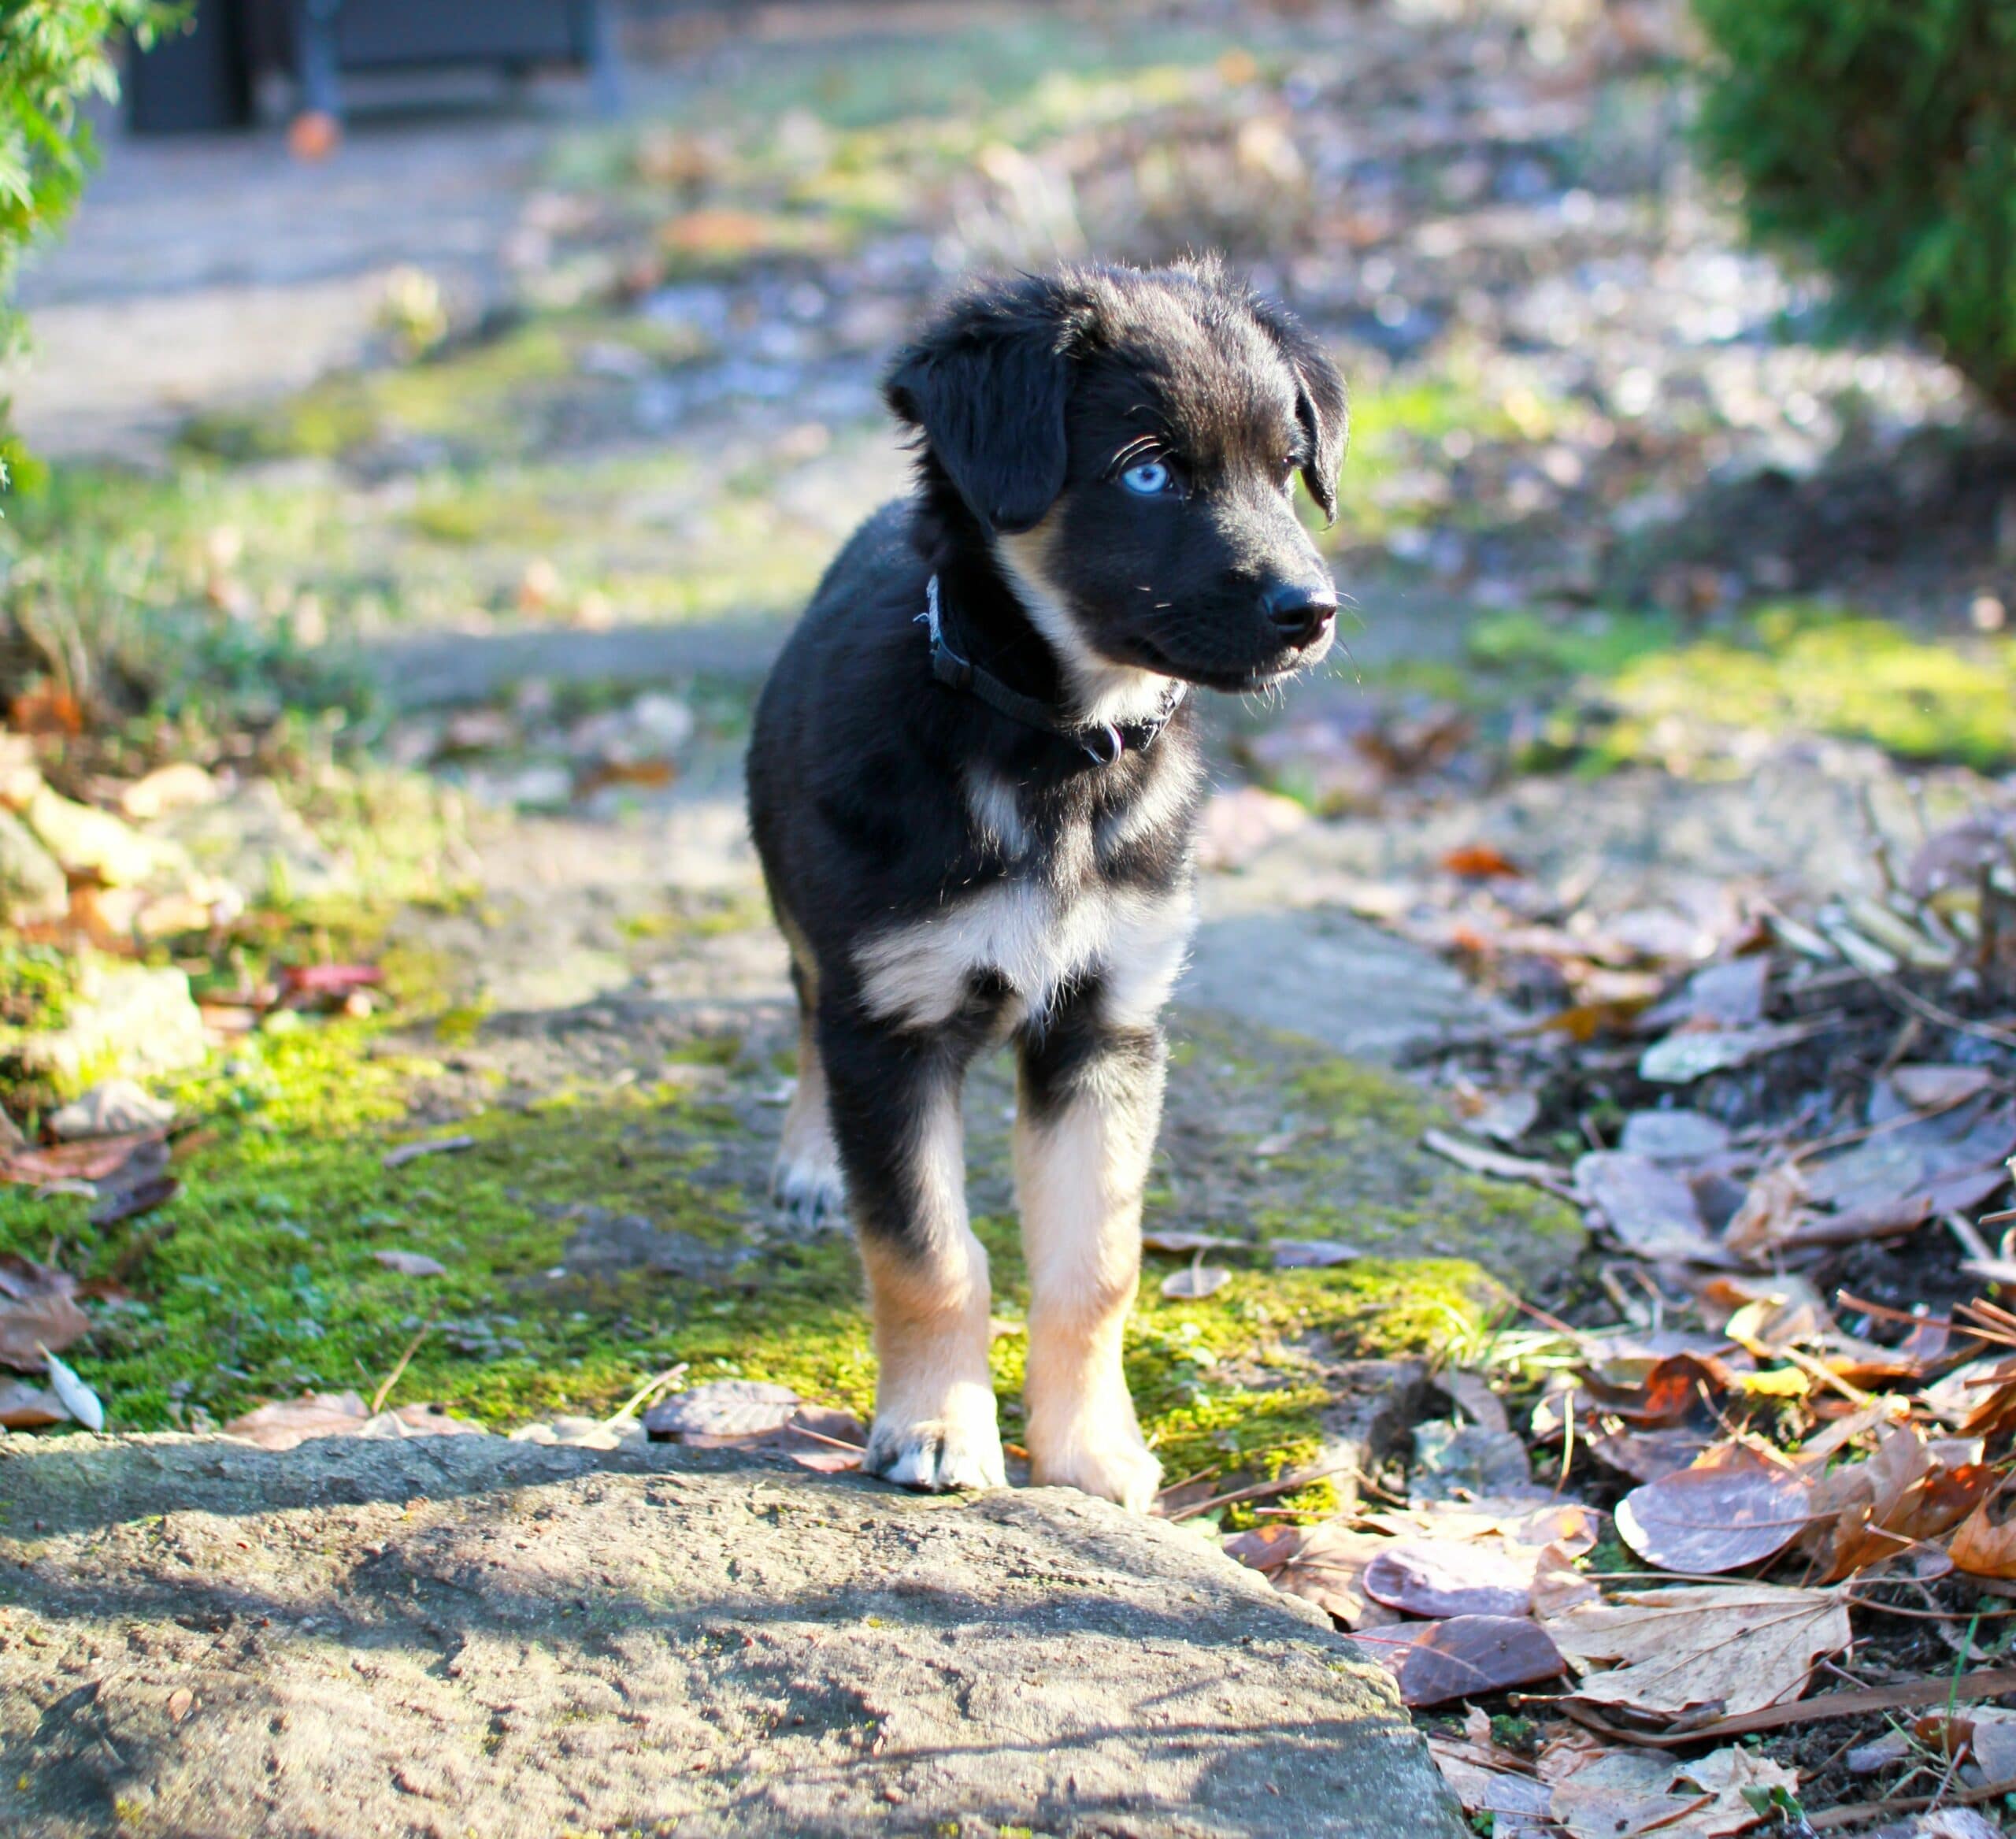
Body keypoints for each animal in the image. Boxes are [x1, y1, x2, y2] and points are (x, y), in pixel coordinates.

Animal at [750, 261, 1347, 1524]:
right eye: (1148, 469)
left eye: (1287, 466)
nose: (1311, 613)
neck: (1055, 753)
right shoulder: (892, 1017)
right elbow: (927, 1253)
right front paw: (934, 1427)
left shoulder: (1107, 1026)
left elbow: (1094, 1267)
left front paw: (1089, 1454)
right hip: (809, 916)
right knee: (807, 1015)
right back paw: (812, 1159)